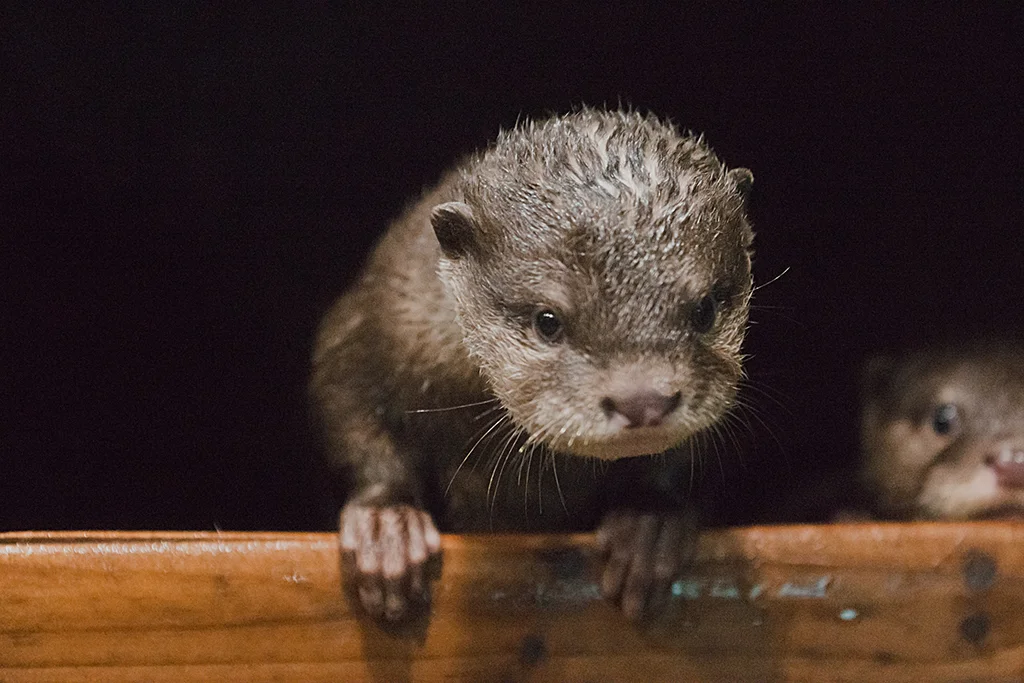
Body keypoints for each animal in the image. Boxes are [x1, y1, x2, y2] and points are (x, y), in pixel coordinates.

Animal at [311, 108, 755, 621]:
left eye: (704, 309)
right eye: (548, 320)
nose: (642, 399)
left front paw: (649, 525)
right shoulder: (369, 325)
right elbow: (350, 410)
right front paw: (386, 526)